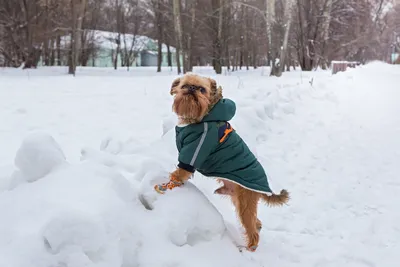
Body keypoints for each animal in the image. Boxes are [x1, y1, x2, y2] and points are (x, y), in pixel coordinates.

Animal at [155, 74, 290, 253]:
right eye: (184, 85)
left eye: (202, 89)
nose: (191, 89)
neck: (200, 117)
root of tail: (265, 188)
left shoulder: (194, 150)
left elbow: (180, 173)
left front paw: (167, 186)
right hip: (238, 197)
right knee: (256, 221)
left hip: (245, 201)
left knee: (252, 228)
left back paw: (250, 247)